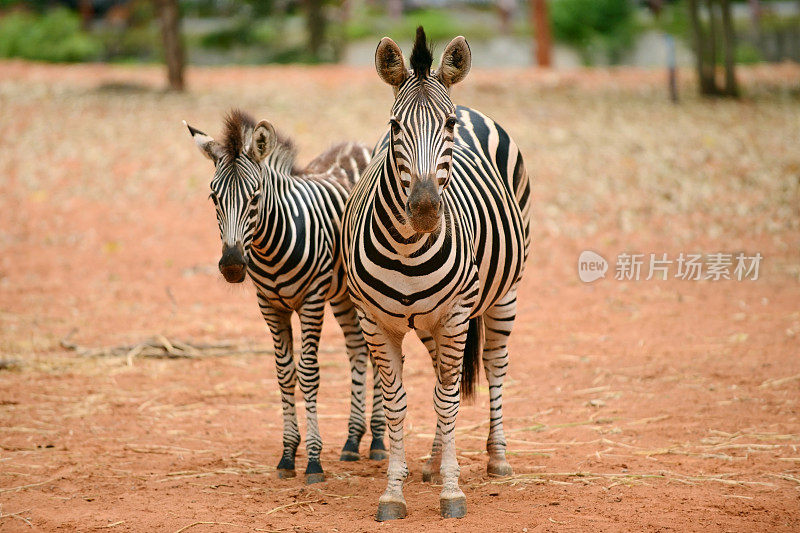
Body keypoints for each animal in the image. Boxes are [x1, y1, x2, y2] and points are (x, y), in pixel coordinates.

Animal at [185, 110, 390, 484]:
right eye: (213, 198)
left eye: (255, 196)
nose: (232, 265)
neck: (269, 248)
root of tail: (357, 144)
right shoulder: (269, 305)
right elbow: (283, 373)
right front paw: (287, 455)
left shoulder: (311, 300)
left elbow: (308, 373)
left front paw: (313, 460)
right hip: (343, 295)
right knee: (358, 350)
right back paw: (353, 441)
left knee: (377, 354)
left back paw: (379, 441)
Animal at [340, 26, 532, 520]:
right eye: (394, 127)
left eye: (446, 127)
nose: (426, 211)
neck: (409, 251)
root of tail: (469, 106)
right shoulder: (374, 321)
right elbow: (397, 404)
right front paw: (394, 492)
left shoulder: (457, 313)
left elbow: (448, 400)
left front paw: (451, 491)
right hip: (431, 323)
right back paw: (429, 460)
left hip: (504, 295)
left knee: (493, 365)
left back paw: (496, 457)